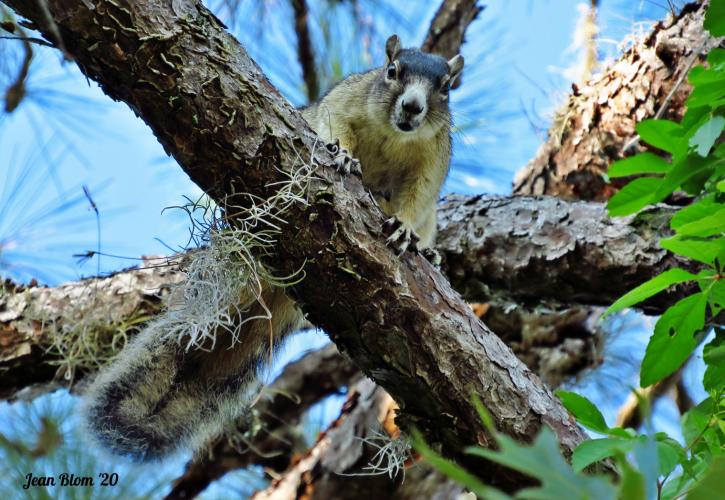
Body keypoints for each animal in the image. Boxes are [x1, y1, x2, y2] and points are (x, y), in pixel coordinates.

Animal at [82, 35, 460, 460]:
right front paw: (343, 154)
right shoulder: (345, 101)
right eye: (392, 71)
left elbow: (418, 198)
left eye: (446, 87)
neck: (395, 136)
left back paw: (430, 255)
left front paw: (407, 233)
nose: (412, 106)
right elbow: (335, 125)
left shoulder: (432, 162)